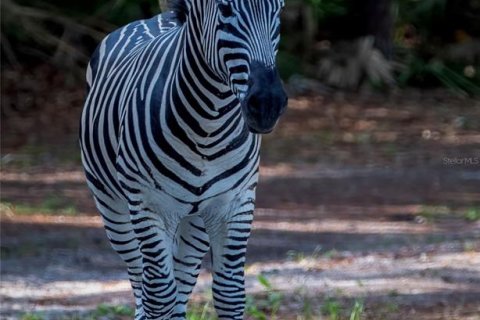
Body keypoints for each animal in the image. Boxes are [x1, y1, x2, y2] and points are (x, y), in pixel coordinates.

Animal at [80, 0, 286, 318]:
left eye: (279, 9)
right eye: (225, 8)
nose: (267, 104)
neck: (208, 127)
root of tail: (156, 18)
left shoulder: (235, 203)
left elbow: (229, 294)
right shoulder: (150, 206)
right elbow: (159, 297)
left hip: (196, 224)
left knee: (179, 283)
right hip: (113, 210)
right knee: (144, 288)